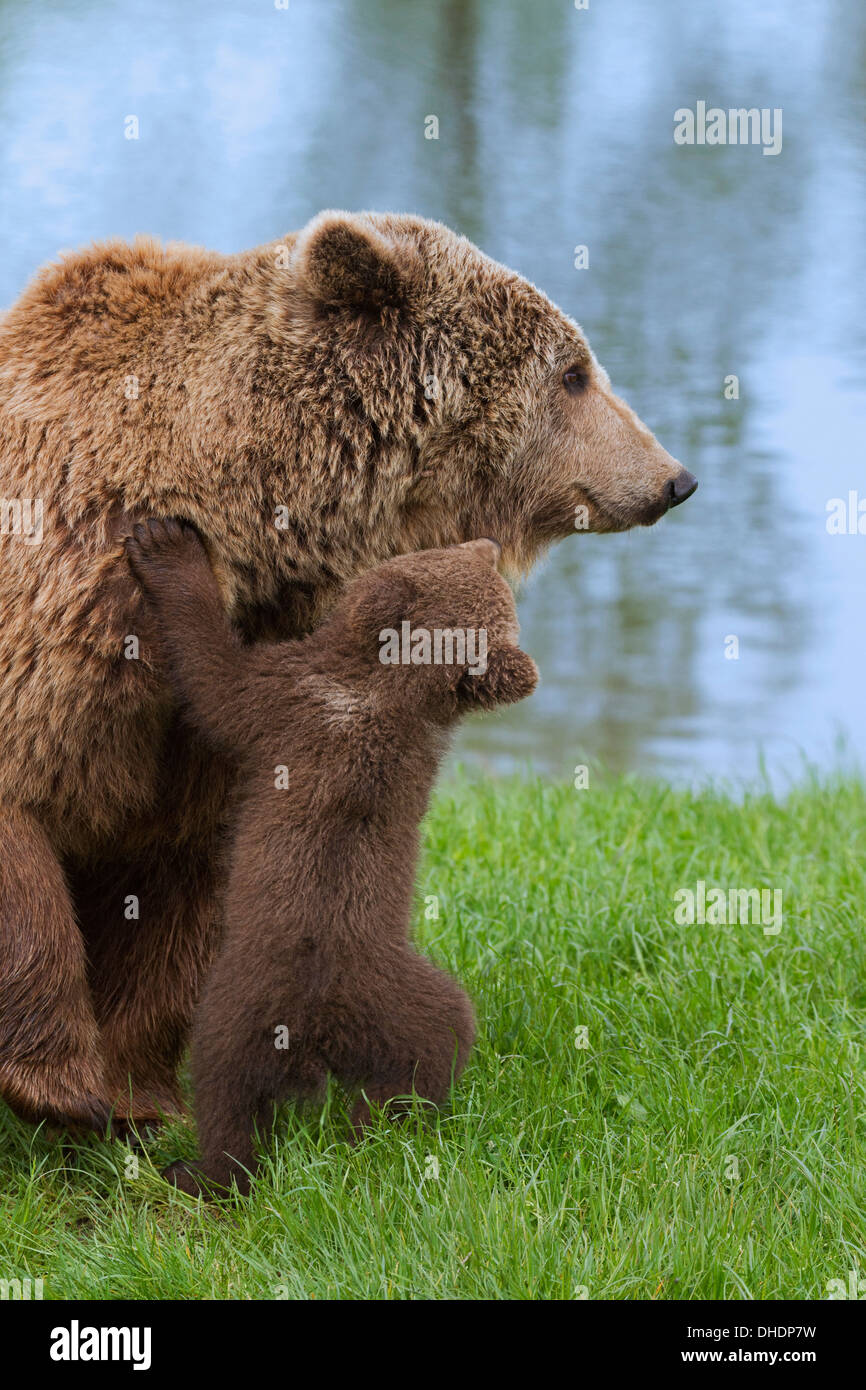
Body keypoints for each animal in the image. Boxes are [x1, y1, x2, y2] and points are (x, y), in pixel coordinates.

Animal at [123, 518, 538, 1196]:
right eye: (464, 559)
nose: (489, 544)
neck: (378, 694)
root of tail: (323, 1028)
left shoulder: (281, 699)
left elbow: (214, 675)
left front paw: (167, 546)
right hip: (407, 1005)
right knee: (432, 1051)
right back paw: (374, 1129)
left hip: (238, 1004)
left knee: (226, 1093)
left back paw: (200, 1169)